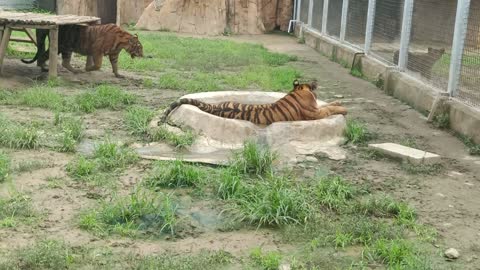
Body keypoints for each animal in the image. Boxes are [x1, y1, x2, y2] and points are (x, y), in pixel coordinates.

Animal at [159, 79, 346, 126]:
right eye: (311, 83)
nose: (316, 82)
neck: (297, 92)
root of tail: (214, 105)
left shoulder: (316, 108)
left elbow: (328, 105)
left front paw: (338, 102)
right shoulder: (314, 113)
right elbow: (328, 110)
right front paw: (343, 109)